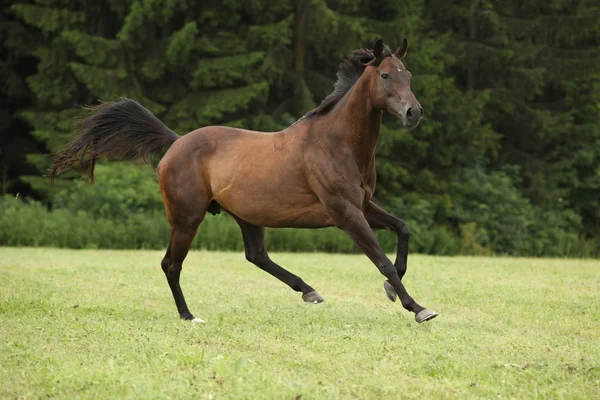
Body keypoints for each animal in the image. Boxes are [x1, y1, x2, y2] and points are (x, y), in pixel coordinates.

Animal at [50, 39, 436, 324]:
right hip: (188, 219)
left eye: (408, 74)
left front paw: (392, 289)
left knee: (256, 255)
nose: (413, 113)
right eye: (384, 75)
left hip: (245, 215)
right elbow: (381, 259)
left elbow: (402, 229)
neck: (335, 142)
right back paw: (189, 316)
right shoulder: (346, 213)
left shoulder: (363, 205)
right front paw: (418, 308)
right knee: (171, 264)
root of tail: (176, 142)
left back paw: (309, 290)